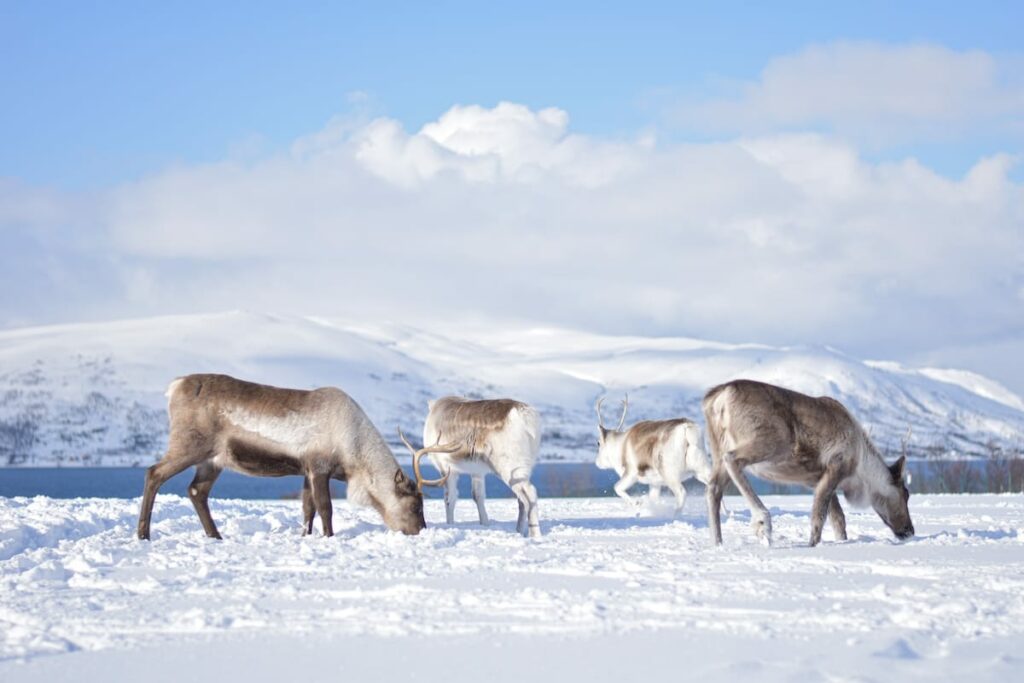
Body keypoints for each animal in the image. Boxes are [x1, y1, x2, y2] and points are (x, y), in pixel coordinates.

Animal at [136, 374, 426, 540]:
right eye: (415, 506)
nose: (421, 530)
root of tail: (174, 387)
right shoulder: (319, 467)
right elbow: (325, 508)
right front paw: (329, 537)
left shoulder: (306, 471)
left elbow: (308, 508)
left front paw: (305, 536)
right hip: (189, 446)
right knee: (154, 473)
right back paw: (143, 534)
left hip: (212, 461)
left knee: (197, 491)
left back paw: (215, 536)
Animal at [398, 396, 542, 537]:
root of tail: (526, 416)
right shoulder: (477, 471)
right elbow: (478, 496)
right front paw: (485, 524)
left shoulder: (446, 467)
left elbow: (449, 498)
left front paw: (450, 524)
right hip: (524, 466)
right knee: (521, 499)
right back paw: (519, 531)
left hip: (509, 466)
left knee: (530, 493)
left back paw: (535, 535)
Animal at [702, 379, 914, 547]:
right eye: (906, 493)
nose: (910, 530)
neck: (860, 470)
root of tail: (719, 396)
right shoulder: (835, 467)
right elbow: (819, 517)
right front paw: (812, 545)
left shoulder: (817, 479)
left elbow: (838, 519)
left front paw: (841, 541)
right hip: (773, 440)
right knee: (732, 459)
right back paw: (763, 520)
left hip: (716, 445)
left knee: (714, 486)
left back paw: (717, 543)